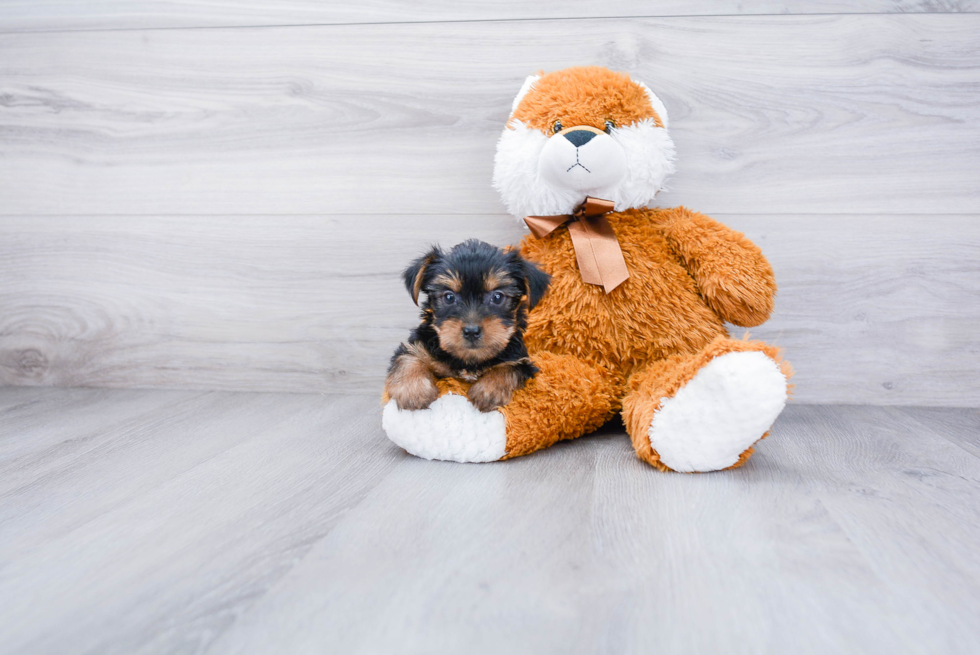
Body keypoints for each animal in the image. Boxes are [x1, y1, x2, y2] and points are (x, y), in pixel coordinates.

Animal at [384, 241, 552, 412]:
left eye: (497, 297)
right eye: (449, 297)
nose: (471, 331)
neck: (470, 360)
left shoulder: (521, 360)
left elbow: (510, 367)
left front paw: (489, 389)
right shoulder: (420, 343)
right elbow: (408, 356)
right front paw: (413, 390)